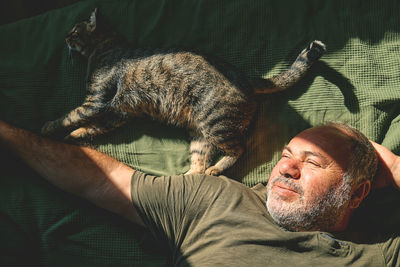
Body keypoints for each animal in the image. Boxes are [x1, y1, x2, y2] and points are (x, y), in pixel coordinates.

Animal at [42, 7, 326, 176]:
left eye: (74, 31)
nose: (64, 37)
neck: (107, 47)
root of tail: (246, 78)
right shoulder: (119, 113)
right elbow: (92, 126)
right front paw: (75, 135)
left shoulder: (97, 100)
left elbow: (70, 116)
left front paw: (47, 128)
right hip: (200, 134)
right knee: (199, 165)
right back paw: (185, 179)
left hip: (216, 125)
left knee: (239, 149)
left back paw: (216, 169)